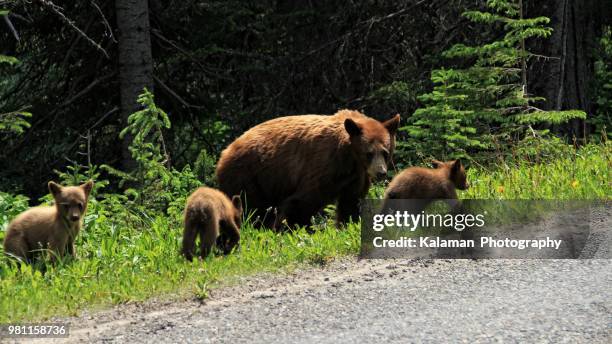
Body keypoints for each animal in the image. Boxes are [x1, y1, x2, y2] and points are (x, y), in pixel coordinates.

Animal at [216, 109, 402, 230]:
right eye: (369, 153)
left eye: (385, 152)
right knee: (252, 208)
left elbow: (351, 201)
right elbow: (304, 200)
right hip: (249, 176)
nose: (381, 172)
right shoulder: (324, 165)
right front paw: (295, 228)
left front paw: (347, 224)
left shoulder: (356, 176)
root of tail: (225, 152)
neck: (350, 157)